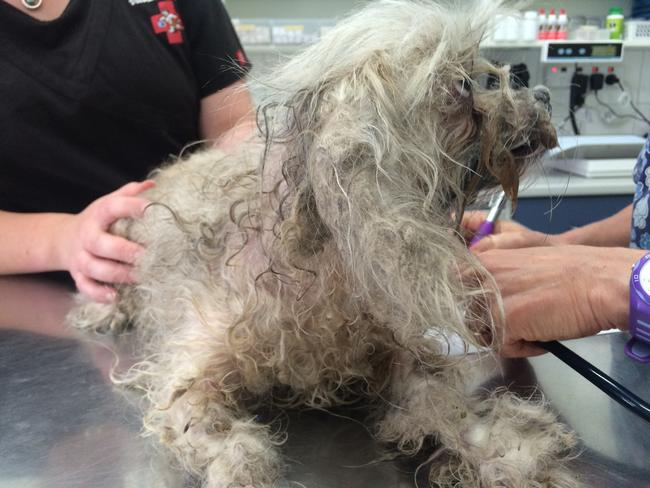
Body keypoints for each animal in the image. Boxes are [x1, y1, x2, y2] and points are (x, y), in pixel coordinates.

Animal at [69, 1, 576, 486]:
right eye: (465, 85)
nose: (544, 94)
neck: (322, 258)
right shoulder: (193, 367)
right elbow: (208, 427)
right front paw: (243, 466)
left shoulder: (399, 352)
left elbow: (441, 403)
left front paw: (503, 451)